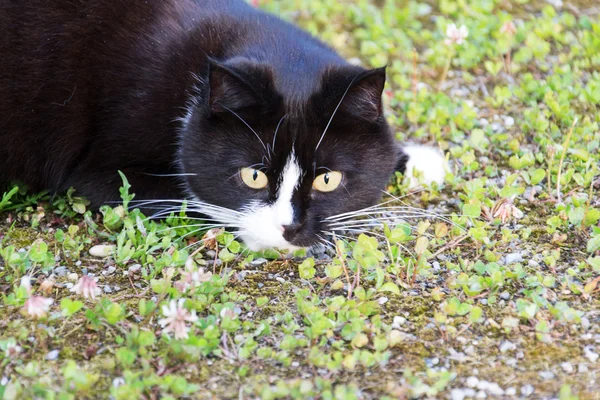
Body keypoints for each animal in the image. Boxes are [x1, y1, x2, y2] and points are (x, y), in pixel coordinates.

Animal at [0, 0, 442, 250]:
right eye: (253, 177)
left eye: (327, 180)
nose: (289, 229)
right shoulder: (104, 167)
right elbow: (190, 195)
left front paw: (416, 158)